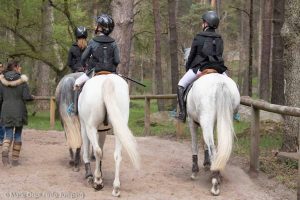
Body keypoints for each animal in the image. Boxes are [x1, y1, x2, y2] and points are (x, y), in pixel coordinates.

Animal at [182, 47, 240, 195]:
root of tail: (220, 83)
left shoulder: (192, 122)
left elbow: (195, 145)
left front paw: (194, 171)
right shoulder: (211, 123)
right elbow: (205, 143)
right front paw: (207, 164)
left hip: (205, 120)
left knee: (212, 146)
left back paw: (215, 182)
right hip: (224, 120)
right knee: (219, 145)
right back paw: (217, 172)